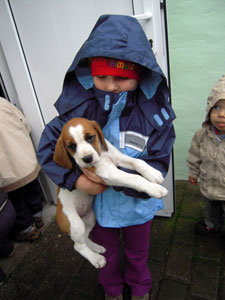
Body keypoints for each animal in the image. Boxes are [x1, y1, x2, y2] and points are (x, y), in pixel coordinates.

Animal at [52, 117, 167, 268]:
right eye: (71, 146)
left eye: (90, 137)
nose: (87, 159)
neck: (102, 154)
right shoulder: (109, 173)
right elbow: (134, 178)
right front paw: (154, 188)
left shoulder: (119, 158)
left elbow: (138, 162)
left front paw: (152, 173)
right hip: (75, 223)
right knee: (78, 246)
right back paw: (96, 258)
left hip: (90, 218)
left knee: (85, 238)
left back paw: (96, 248)